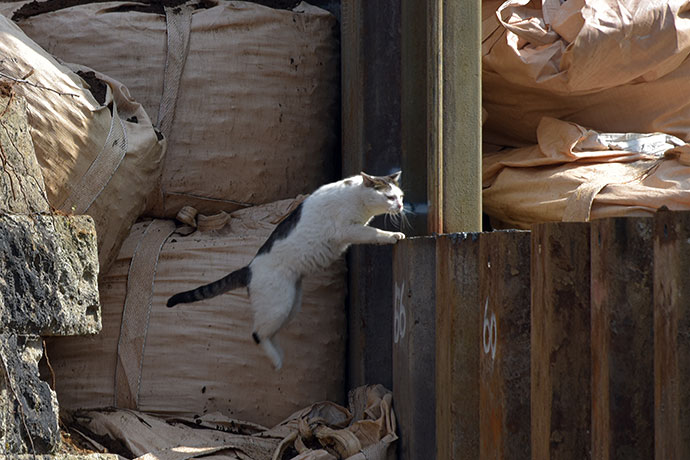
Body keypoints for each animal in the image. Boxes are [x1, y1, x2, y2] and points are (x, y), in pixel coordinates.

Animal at [166, 172, 404, 370]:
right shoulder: (348, 229)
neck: (357, 198)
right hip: (278, 306)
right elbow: (373, 233)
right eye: (390, 197)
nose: (401, 206)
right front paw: (393, 235)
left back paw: (280, 355)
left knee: (269, 333)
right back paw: (276, 362)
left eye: (400, 196)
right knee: (257, 334)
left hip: (291, 305)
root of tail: (249, 268)